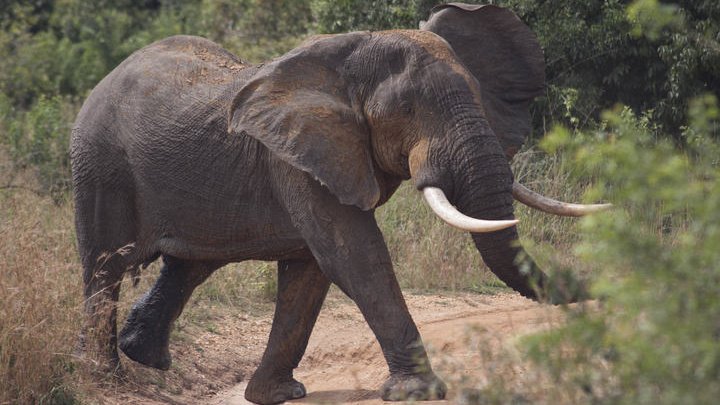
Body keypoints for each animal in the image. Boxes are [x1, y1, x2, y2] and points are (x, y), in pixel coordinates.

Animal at [70, 3, 608, 404]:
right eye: (407, 110)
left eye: (479, 97)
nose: (600, 292)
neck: (351, 58)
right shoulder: (297, 157)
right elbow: (354, 255)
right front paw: (420, 392)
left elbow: (312, 271)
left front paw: (277, 395)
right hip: (100, 163)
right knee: (105, 265)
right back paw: (105, 376)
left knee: (190, 264)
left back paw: (144, 356)